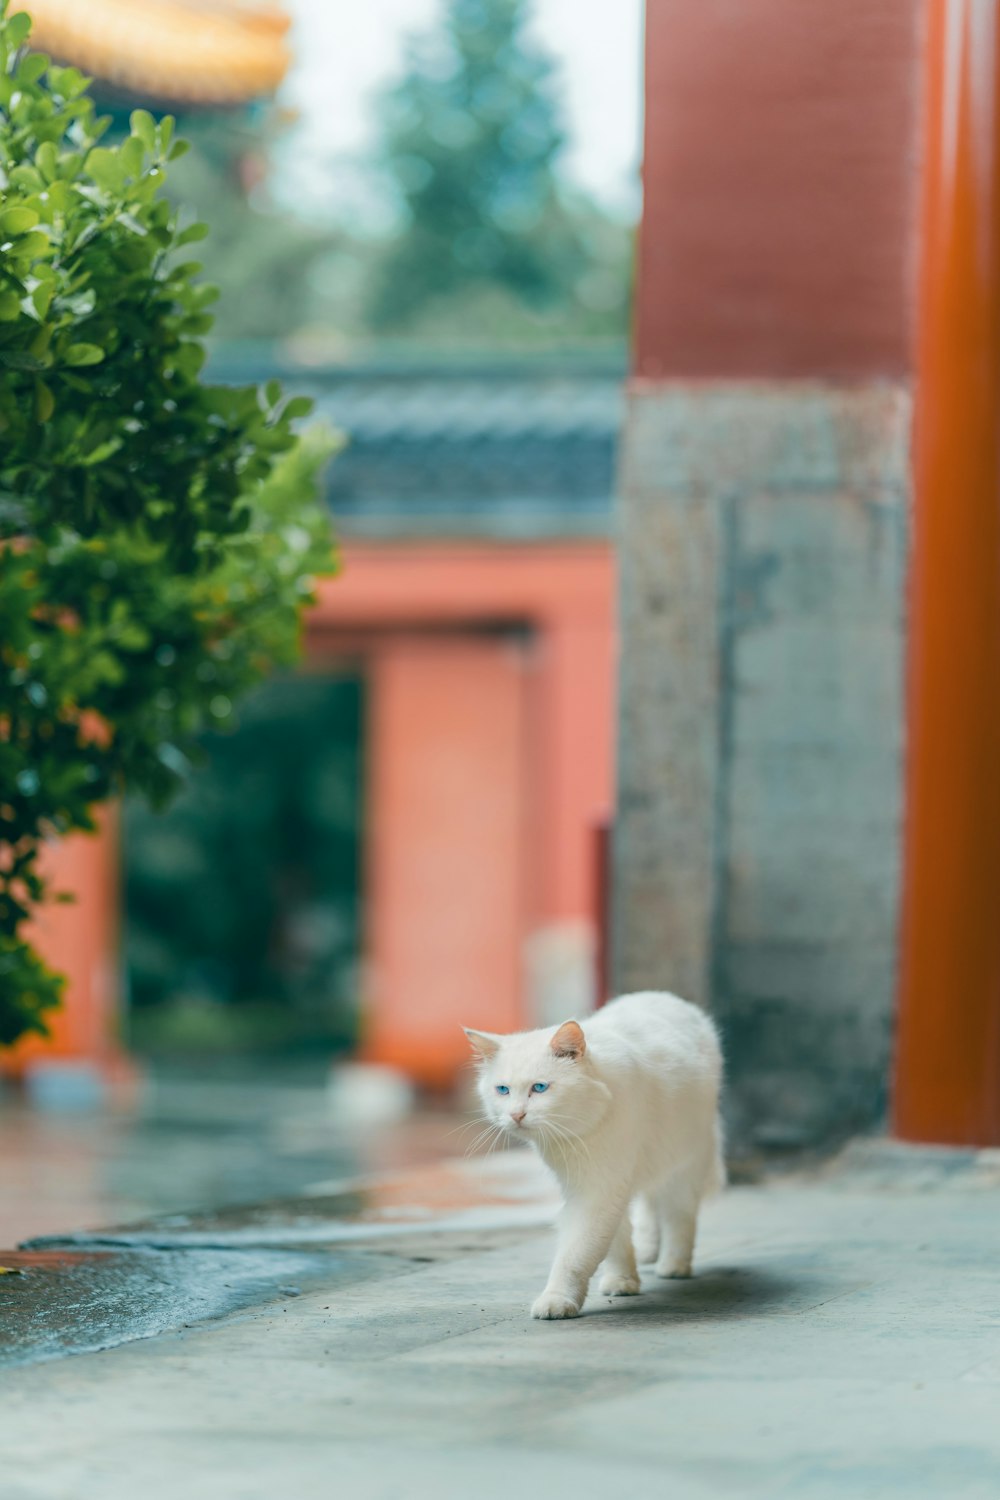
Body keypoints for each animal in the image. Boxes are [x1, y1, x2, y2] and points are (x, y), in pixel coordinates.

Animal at [464, 990, 722, 1320]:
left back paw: (674, 1266)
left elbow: (576, 1254)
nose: (516, 1115)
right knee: (650, 1207)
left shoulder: (600, 1190)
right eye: (503, 1090)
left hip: (684, 1165)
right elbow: (614, 1242)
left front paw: (558, 1300)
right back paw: (648, 1251)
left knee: (680, 1217)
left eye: (540, 1088)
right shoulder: (595, 1186)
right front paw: (622, 1281)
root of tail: (664, 996)